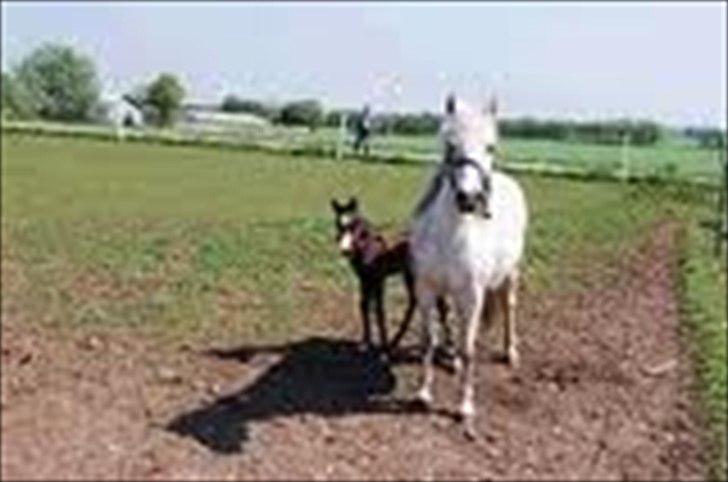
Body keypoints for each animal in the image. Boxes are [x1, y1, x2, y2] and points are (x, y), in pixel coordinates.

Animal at [330, 197, 451, 353]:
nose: (346, 250)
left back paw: (449, 344)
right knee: (415, 301)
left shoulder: (379, 278)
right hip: (410, 274)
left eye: (354, 225)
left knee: (441, 306)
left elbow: (379, 310)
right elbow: (364, 305)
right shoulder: (364, 278)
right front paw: (365, 343)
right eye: (338, 224)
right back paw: (396, 342)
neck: (369, 247)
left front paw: (384, 347)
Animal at [408, 94, 528, 439]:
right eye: (450, 145)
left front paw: (465, 407)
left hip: (511, 275)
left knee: (509, 307)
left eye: (491, 147)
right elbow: (429, 340)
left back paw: (510, 352)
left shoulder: (472, 296)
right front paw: (423, 393)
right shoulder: (426, 289)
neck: (453, 234)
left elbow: (469, 347)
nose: (469, 198)